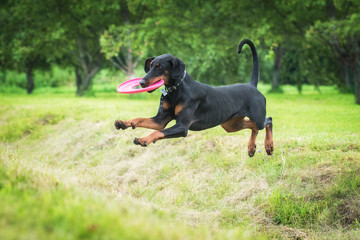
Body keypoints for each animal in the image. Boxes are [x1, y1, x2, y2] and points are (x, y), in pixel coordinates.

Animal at [115, 39, 272, 158]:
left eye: (159, 67)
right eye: (151, 65)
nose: (141, 83)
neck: (175, 90)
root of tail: (251, 85)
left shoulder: (182, 126)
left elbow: (158, 132)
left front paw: (143, 139)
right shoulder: (160, 120)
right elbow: (141, 120)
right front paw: (123, 123)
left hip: (256, 117)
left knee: (268, 121)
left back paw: (269, 146)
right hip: (230, 124)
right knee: (253, 127)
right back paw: (251, 148)